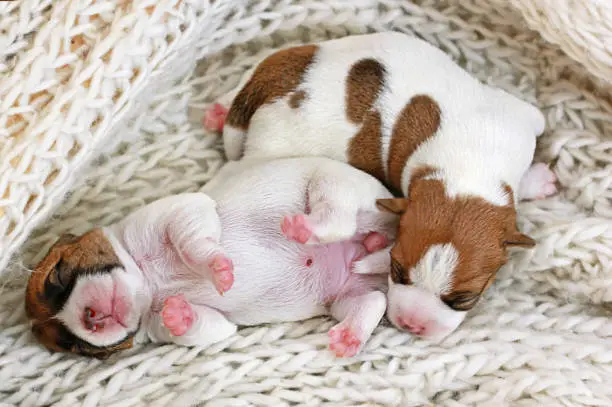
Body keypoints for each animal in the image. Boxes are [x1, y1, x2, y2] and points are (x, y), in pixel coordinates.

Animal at [23, 158, 396, 358]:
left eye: (57, 275)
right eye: (75, 347)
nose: (90, 319)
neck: (148, 284)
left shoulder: (178, 211)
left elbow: (191, 241)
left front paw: (216, 268)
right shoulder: (200, 326)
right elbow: (205, 327)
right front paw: (178, 315)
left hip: (334, 184)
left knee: (338, 217)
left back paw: (305, 227)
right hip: (344, 299)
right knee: (372, 301)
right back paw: (350, 336)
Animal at [203, 31, 556, 342]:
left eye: (464, 299)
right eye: (397, 271)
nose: (413, 325)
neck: (467, 172)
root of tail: (272, 83)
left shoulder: (522, 121)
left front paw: (535, 180)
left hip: (280, 60)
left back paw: (218, 110)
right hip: (273, 152)